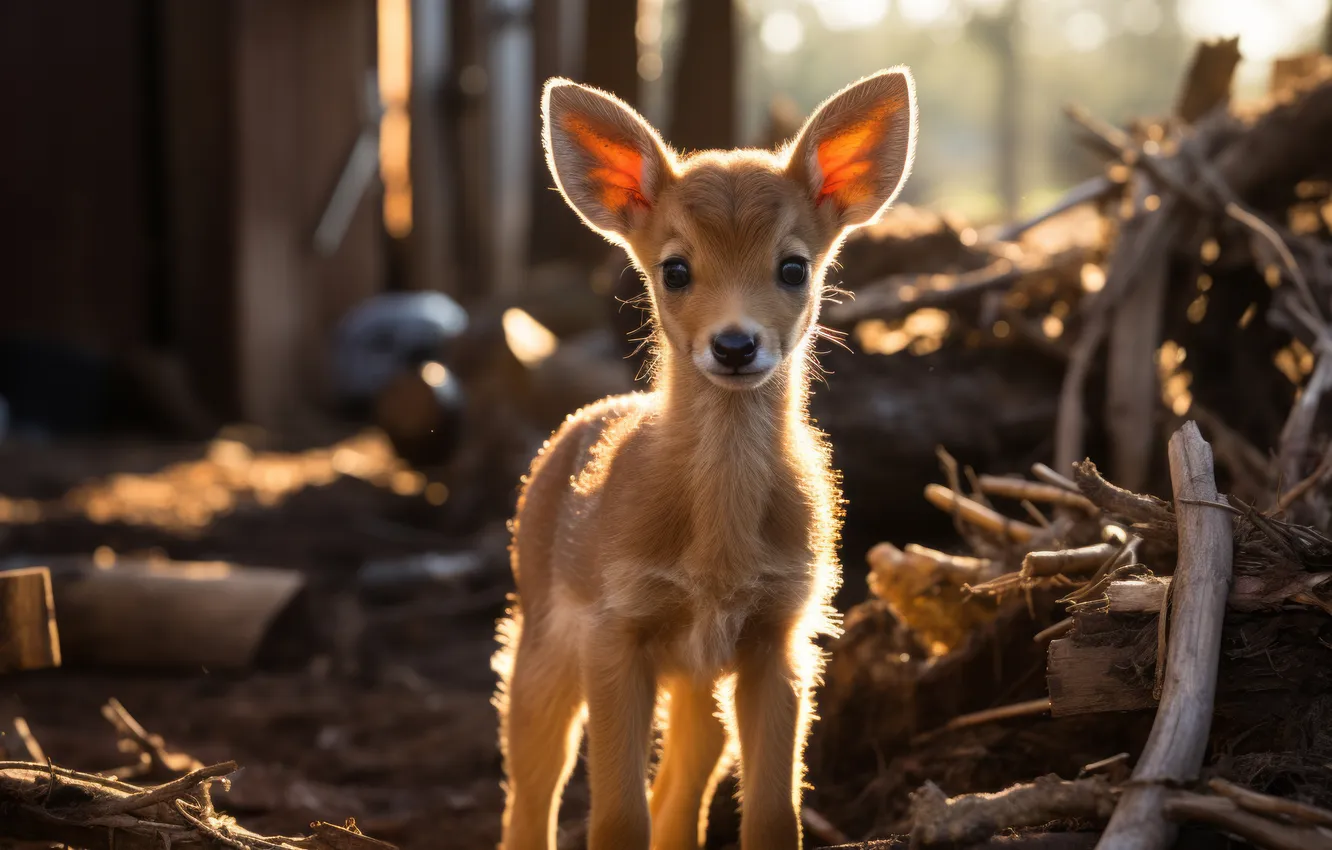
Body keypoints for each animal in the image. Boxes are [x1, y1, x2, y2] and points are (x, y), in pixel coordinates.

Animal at [493, 68, 917, 850]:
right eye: (676, 269)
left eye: (793, 267)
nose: (735, 344)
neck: (716, 551)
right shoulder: (615, 627)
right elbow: (616, 818)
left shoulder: (781, 637)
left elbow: (773, 813)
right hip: (541, 640)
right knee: (532, 788)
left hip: (695, 683)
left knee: (681, 786)